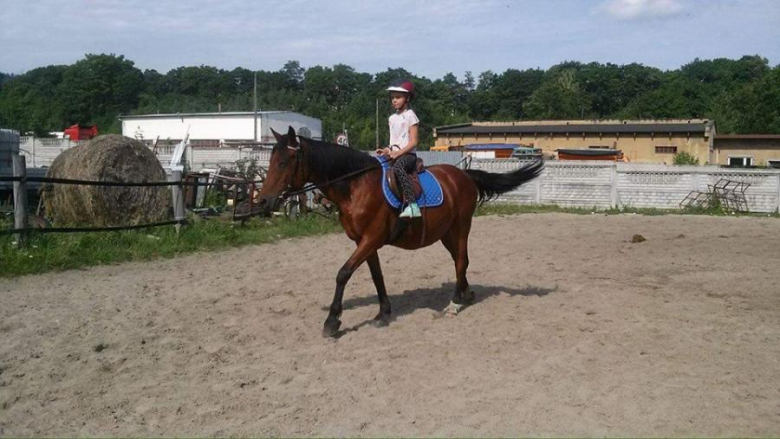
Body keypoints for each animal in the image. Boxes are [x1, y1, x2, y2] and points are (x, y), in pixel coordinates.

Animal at [258, 125, 544, 338]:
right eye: (271, 161)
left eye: (284, 162)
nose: (263, 201)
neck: (356, 186)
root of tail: (465, 176)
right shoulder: (365, 242)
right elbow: (377, 276)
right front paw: (383, 313)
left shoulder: (371, 238)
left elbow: (343, 274)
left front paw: (332, 321)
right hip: (447, 233)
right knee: (460, 261)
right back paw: (467, 293)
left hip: (461, 227)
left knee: (461, 261)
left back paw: (454, 303)